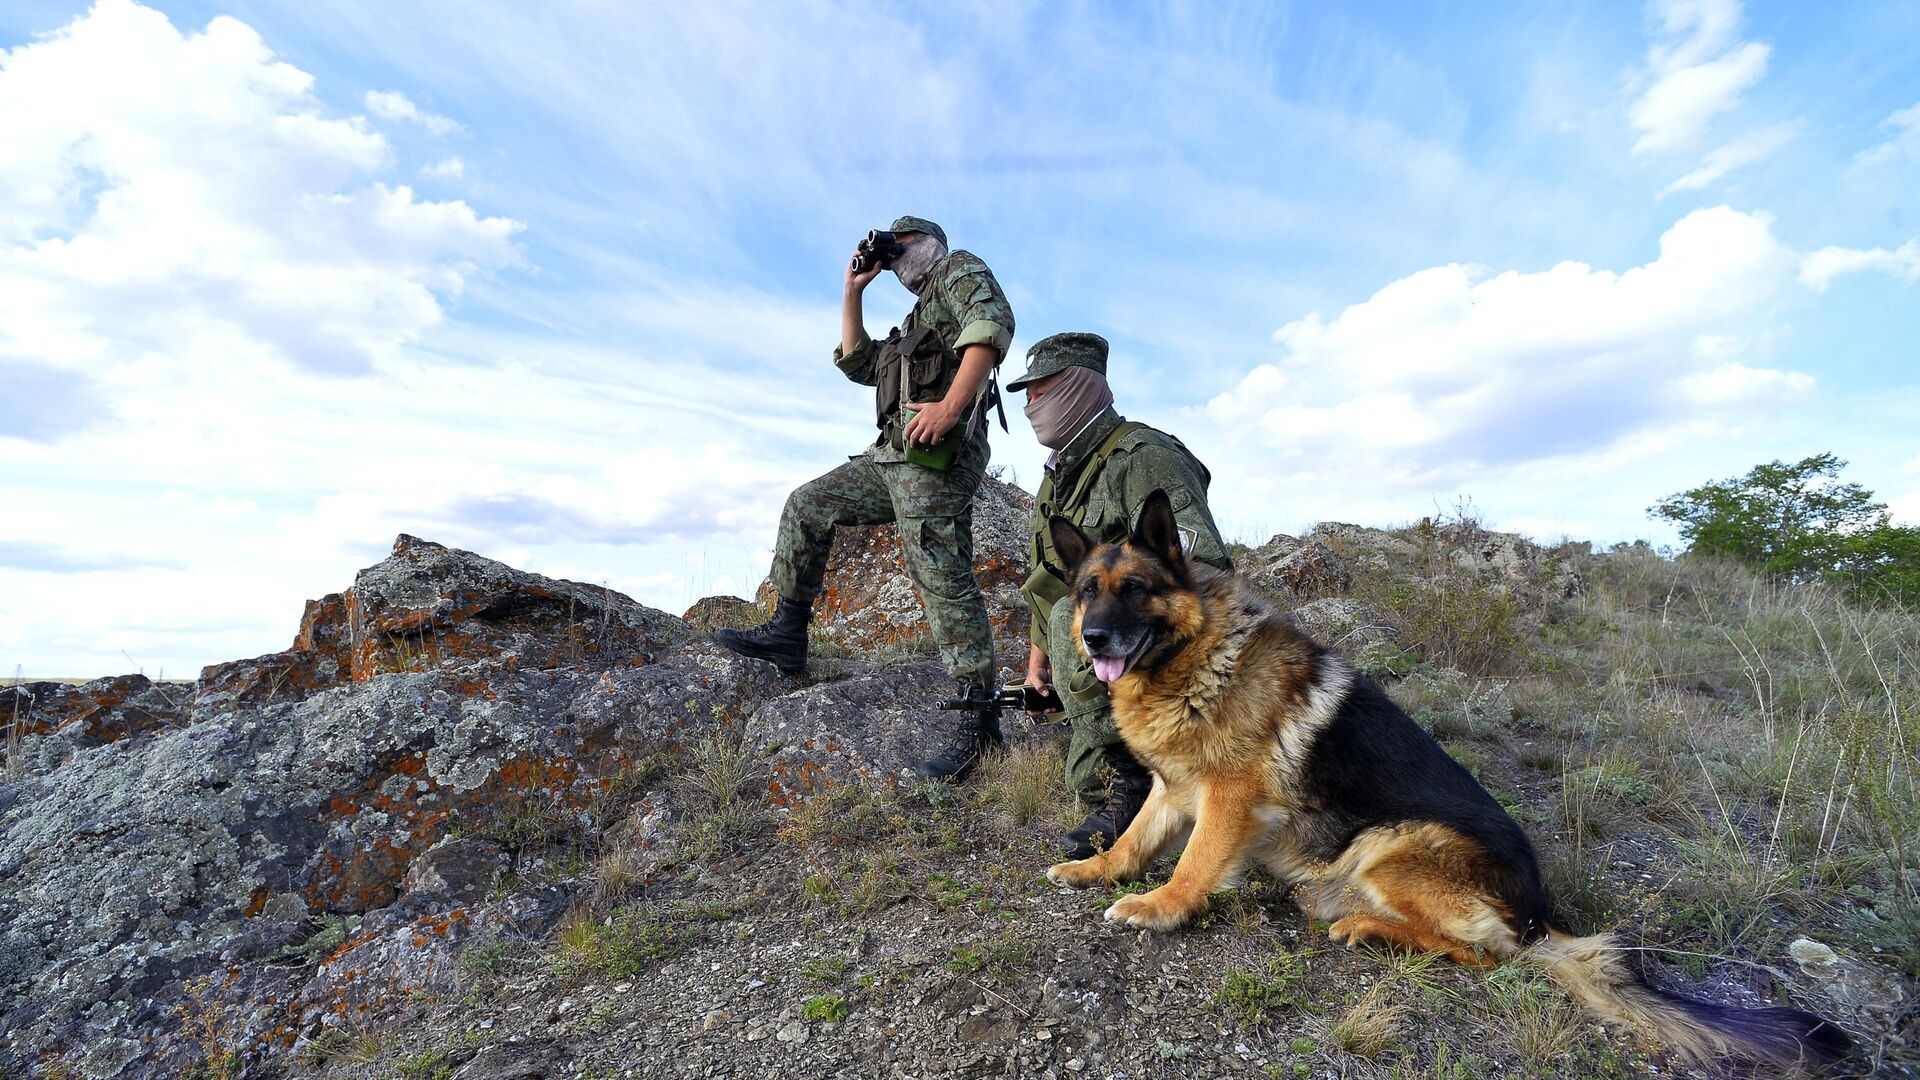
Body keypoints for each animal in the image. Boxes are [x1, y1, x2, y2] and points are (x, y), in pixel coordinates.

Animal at [1044, 491, 1850, 1060]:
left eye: (1136, 587)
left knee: (1485, 955)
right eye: (1087, 590)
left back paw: (1369, 927)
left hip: (1393, 845)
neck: (1192, 655)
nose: (1095, 638)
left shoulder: (1229, 802)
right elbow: (1134, 840)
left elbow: (1192, 864)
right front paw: (1095, 871)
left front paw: (1159, 908)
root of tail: (1540, 912)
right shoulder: (1172, 789)